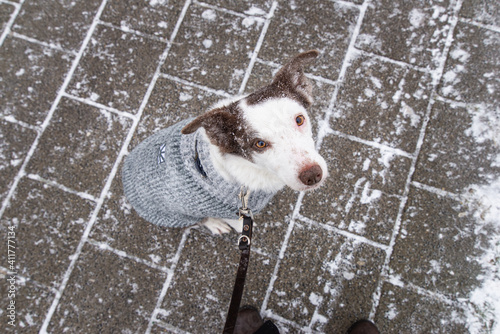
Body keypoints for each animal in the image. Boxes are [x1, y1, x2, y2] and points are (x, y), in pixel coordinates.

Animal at [122, 49, 328, 234]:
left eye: (299, 119)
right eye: (259, 144)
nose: (312, 175)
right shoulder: (233, 214)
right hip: (179, 215)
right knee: (199, 220)